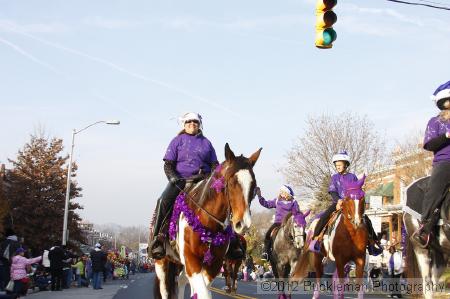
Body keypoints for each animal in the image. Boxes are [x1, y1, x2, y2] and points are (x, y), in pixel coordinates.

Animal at [154, 144, 262, 298]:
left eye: (253, 184)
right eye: (232, 182)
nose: (243, 223)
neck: (206, 224)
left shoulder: (214, 264)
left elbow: (202, 290)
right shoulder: (191, 259)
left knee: (181, 280)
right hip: (162, 262)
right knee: (165, 287)